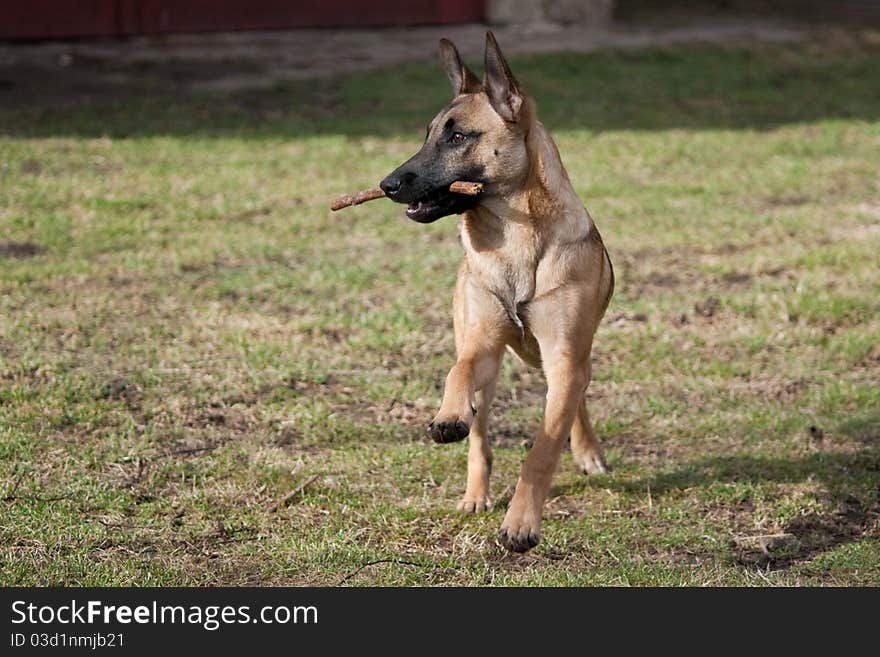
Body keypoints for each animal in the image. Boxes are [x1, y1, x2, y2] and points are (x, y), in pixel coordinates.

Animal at [382, 32, 616, 552]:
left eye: (457, 137)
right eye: (428, 134)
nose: (387, 184)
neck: (516, 240)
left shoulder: (566, 358)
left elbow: (544, 447)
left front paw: (521, 524)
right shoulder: (482, 343)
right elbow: (458, 370)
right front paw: (448, 415)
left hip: (572, 356)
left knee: (575, 398)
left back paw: (586, 451)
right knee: (480, 433)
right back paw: (474, 490)